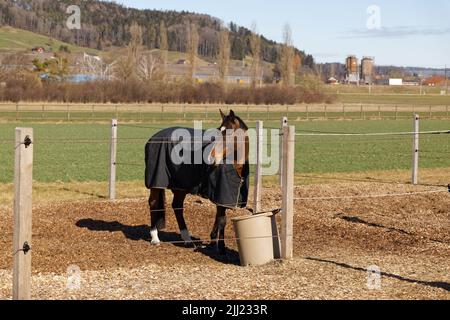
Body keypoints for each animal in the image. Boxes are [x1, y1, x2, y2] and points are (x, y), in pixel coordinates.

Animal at [145, 110, 250, 255]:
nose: (211, 158)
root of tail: (153, 137)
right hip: (156, 182)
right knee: (154, 203)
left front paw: (213, 242)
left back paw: (187, 239)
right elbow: (222, 220)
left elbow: (218, 218)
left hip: (180, 186)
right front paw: (221, 248)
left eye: (228, 133)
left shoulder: (221, 198)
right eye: (218, 131)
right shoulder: (220, 195)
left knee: (177, 206)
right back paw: (155, 238)